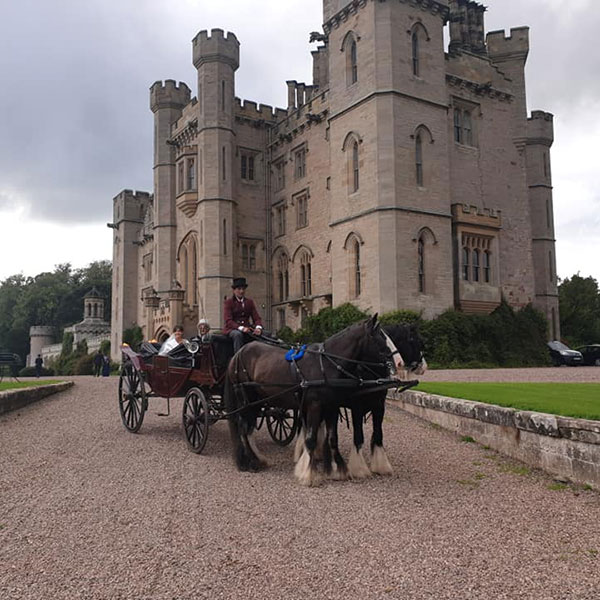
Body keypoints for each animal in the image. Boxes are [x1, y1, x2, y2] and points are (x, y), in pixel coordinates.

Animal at [223, 316, 400, 486]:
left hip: (257, 401)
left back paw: (257, 458)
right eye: (380, 339)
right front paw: (309, 474)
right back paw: (249, 462)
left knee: (249, 428)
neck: (326, 364)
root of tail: (237, 355)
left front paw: (338, 470)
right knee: (243, 427)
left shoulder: (332, 407)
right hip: (246, 399)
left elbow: (333, 438)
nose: (398, 364)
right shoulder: (317, 406)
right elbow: (311, 439)